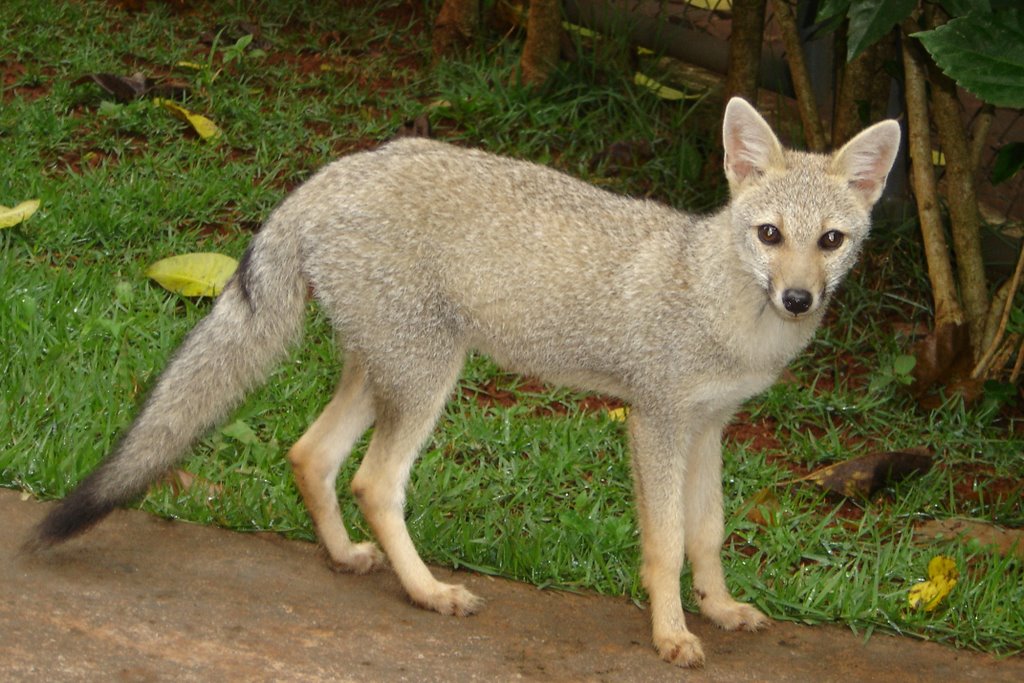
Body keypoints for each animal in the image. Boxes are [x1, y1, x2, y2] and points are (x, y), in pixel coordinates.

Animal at [28, 98, 901, 663]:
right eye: (769, 234)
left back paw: (345, 558)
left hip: (385, 371)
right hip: (427, 379)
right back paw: (428, 592)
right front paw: (672, 633)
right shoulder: (654, 420)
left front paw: (718, 608)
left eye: (829, 241)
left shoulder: (709, 428)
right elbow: (663, 542)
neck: (723, 304)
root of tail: (332, 173)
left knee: (310, 453)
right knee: (375, 480)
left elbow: (707, 532)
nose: (798, 298)